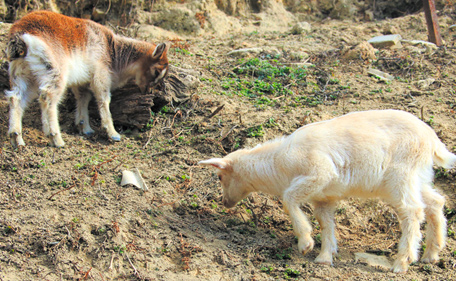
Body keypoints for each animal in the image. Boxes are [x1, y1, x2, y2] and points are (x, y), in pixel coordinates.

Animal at [5, 10, 169, 147]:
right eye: (156, 71)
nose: (147, 90)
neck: (112, 51)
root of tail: (20, 36)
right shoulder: (100, 75)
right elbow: (103, 99)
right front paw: (113, 133)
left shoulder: (82, 82)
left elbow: (83, 99)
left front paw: (85, 127)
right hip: (54, 71)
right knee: (47, 97)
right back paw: (56, 138)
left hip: (23, 75)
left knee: (16, 98)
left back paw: (16, 138)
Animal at [200, 109, 456, 272]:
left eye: (220, 176)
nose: (225, 203)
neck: (279, 164)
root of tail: (432, 139)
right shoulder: (324, 197)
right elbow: (326, 223)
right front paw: (325, 256)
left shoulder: (320, 173)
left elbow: (288, 199)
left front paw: (305, 243)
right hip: (418, 176)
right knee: (436, 203)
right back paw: (431, 254)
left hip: (400, 176)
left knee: (412, 211)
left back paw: (402, 262)